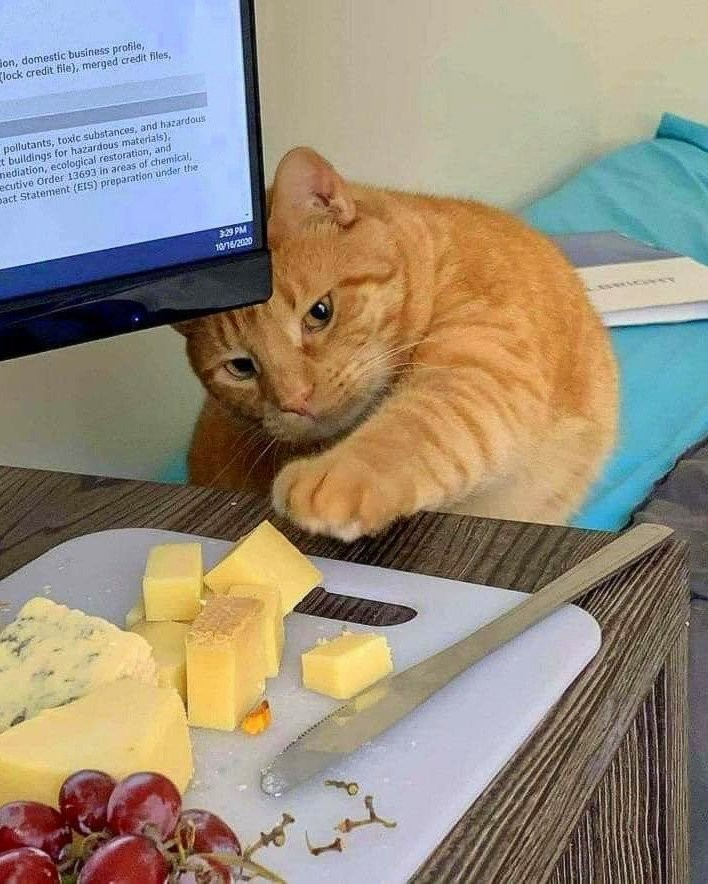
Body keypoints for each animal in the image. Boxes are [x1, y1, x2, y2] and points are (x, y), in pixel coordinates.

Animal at [178, 148, 620, 544]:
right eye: (240, 367)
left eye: (320, 312)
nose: (295, 400)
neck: (435, 262)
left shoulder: (483, 367)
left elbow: (412, 426)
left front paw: (339, 477)